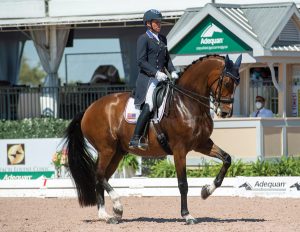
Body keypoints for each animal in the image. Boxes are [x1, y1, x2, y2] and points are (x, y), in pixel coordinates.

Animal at [64, 54, 243, 225]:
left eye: (237, 83)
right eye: (227, 82)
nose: (225, 112)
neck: (187, 103)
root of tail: (88, 109)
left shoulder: (201, 144)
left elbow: (227, 159)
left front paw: (206, 191)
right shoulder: (179, 149)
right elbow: (183, 184)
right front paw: (187, 215)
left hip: (117, 153)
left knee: (102, 178)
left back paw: (108, 215)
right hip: (106, 149)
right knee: (99, 174)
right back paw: (116, 207)